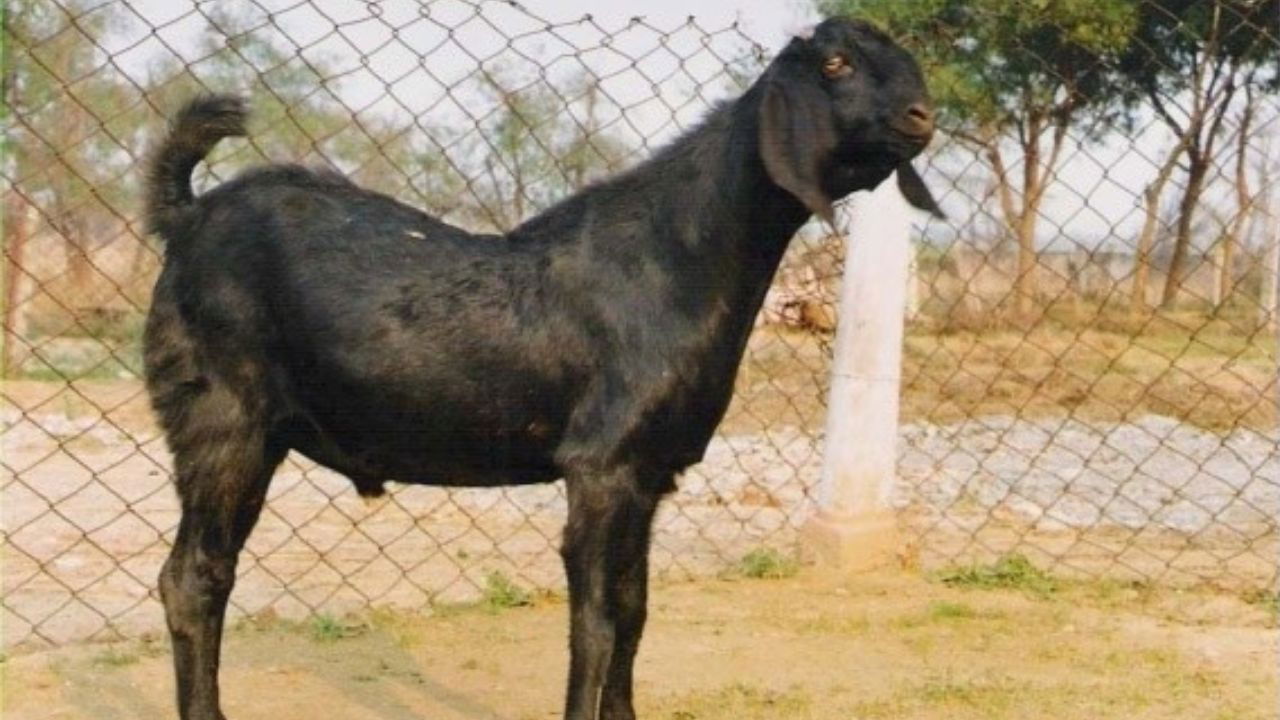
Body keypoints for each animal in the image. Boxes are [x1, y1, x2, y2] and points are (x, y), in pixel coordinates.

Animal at [145, 16, 942, 717]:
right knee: (193, 578)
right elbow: (595, 625)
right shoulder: (600, 467)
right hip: (223, 420)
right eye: (835, 64)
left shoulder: (650, 474)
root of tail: (187, 215)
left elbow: (635, 611)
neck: (679, 256)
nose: (923, 116)